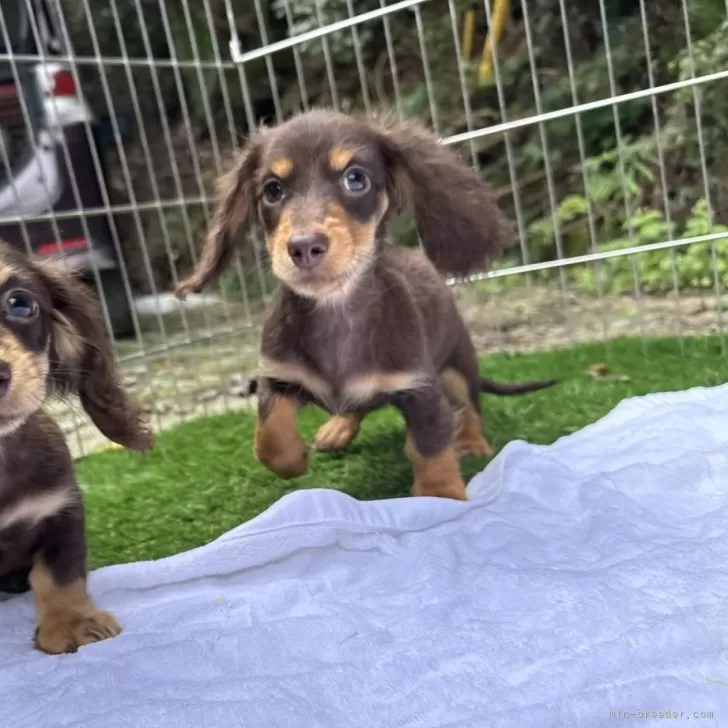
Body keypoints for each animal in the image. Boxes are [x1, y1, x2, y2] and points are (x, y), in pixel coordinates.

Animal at [179, 109, 556, 500]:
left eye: (355, 179)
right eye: (272, 190)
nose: (303, 247)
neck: (336, 314)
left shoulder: (421, 390)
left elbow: (431, 447)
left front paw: (441, 495)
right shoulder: (279, 376)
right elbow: (270, 439)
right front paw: (294, 458)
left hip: (457, 366)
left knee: (469, 406)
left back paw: (472, 441)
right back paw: (338, 427)